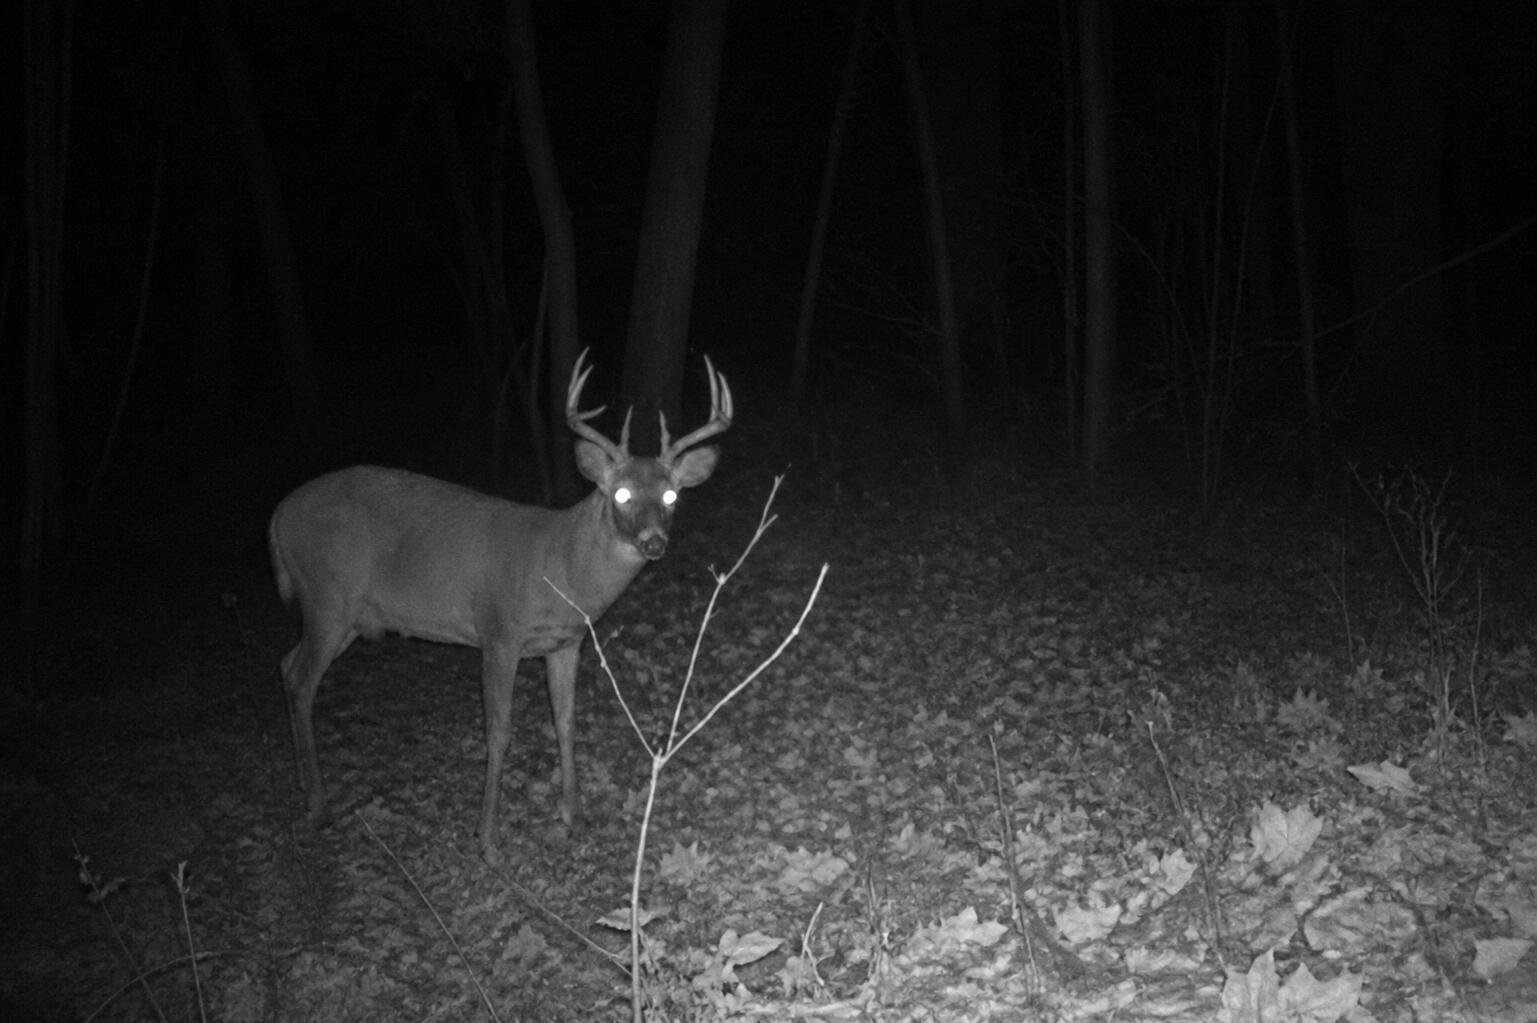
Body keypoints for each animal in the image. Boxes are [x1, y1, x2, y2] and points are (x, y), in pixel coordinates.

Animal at [267, 350, 731, 863]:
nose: (653, 542)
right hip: (327, 597)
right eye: (622, 493)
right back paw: (317, 804)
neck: (561, 566)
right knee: (302, 679)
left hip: (345, 614)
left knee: (286, 664)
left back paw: (301, 783)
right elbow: (499, 731)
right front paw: (489, 839)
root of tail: (277, 517)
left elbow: (565, 722)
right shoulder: (499, 634)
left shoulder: (566, 642)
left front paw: (574, 815)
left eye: (671, 494)